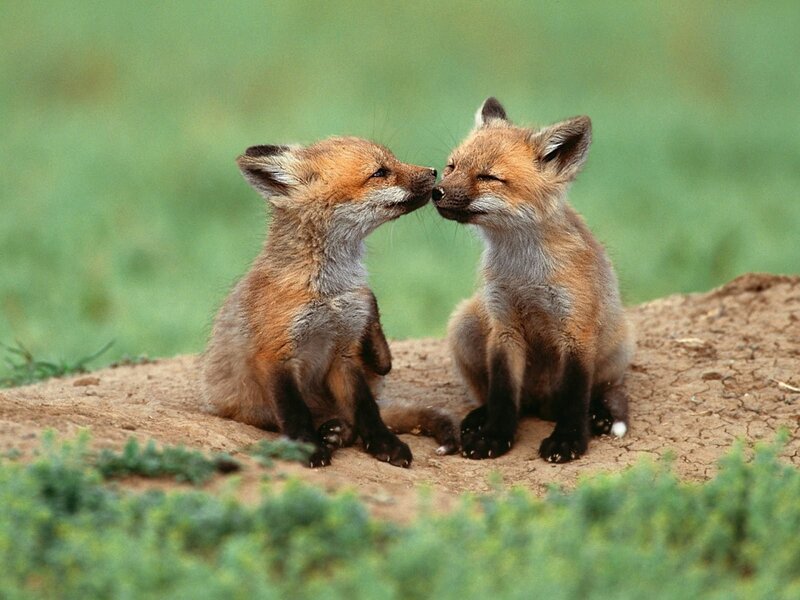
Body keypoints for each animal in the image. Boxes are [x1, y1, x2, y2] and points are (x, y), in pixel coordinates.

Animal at [202, 137, 458, 468]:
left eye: (392, 160)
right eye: (380, 172)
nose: (433, 171)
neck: (330, 292)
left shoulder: (345, 352)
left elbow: (366, 409)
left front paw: (385, 444)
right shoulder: (275, 355)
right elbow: (295, 412)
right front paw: (307, 449)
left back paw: (338, 431)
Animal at [432, 97, 634, 463]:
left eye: (488, 177)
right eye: (451, 167)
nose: (435, 192)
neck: (524, 272)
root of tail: (541, 403)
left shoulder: (577, 330)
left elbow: (574, 397)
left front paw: (569, 441)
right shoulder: (503, 324)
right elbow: (502, 394)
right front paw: (495, 436)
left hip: (618, 344)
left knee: (601, 390)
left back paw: (597, 414)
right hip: (464, 322)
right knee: (510, 401)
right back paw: (480, 416)